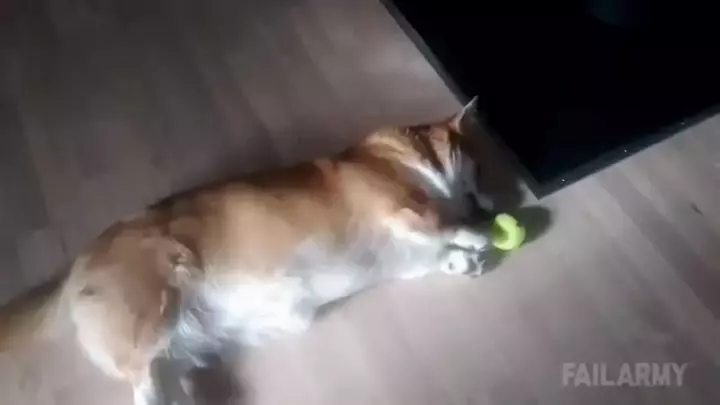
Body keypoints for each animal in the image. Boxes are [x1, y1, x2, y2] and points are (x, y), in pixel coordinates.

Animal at [0, 98, 495, 404]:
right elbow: (437, 220)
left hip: (177, 342)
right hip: (155, 307)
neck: (409, 152)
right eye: (481, 165)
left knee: (161, 373)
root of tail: (75, 267)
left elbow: (433, 253)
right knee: (142, 378)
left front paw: (463, 258)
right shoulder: (401, 204)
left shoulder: (406, 252)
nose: (493, 207)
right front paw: (476, 236)